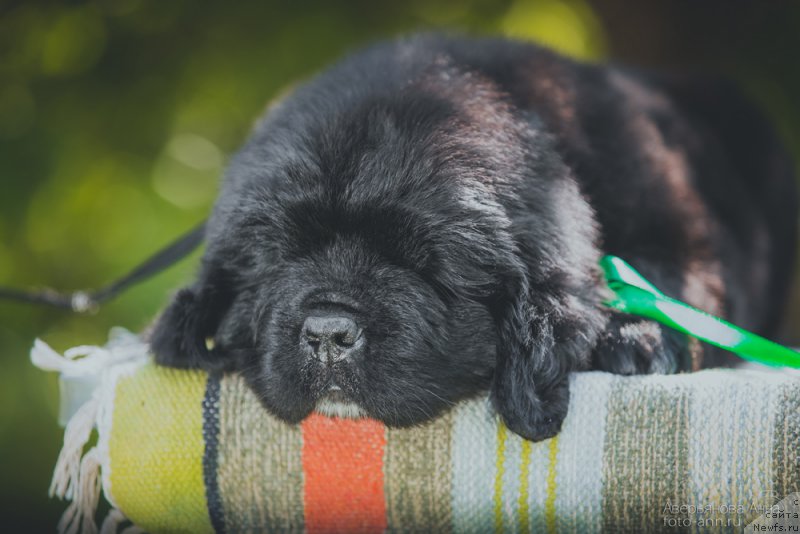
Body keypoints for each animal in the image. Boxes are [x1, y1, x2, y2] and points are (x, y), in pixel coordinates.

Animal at [148, 34, 792, 444]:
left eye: (422, 266)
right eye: (281, 257)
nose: (329, 333)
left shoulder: (682, 225)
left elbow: (675, 280)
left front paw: (638, 336)